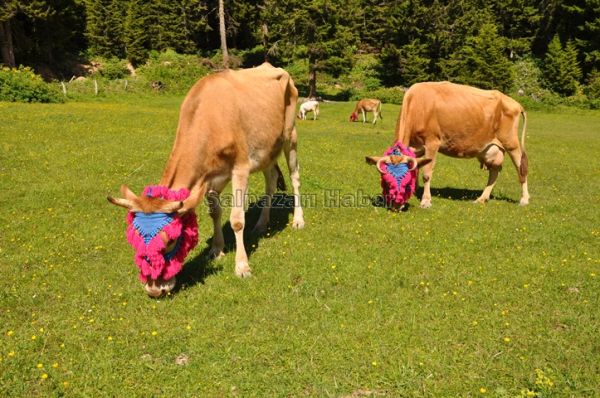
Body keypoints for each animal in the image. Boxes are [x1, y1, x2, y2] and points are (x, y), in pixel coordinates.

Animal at [106, 63, 304, 296]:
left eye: (171, 240)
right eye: (133, 240)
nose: (155, 290)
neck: (210, 117)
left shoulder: (240, 167)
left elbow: (237, 220)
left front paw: (242, 266)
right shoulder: (209, 176)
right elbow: (214, 212)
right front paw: (217, 250)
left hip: (289, 135)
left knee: (294, 177)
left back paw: (298, 220)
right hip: (267, 149)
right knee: (271, 180)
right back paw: (261, 224)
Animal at [366, 82, 528, 210]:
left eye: (405, 184)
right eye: (386, 182)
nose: (395, 206)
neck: (418, 104)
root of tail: (515, 102)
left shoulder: (432, 142)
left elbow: (426, 173)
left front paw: (425, 201)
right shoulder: (416, 148)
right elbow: (417, 168)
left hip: (511, 143)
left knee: (521, 168)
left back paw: (524, 199)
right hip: (491, 148)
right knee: (495, 170)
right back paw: (481, 199)